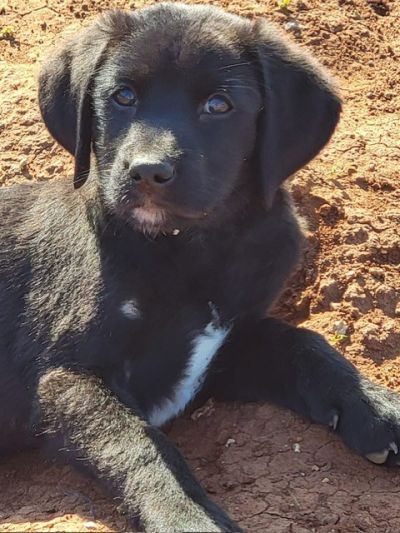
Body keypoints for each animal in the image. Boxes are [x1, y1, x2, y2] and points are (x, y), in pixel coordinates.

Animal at [1, 3, 399, 531]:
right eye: (123, 96)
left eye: (218, 105)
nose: (147, 171)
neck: (185, 250)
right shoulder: (65, 374)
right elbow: (138, 444)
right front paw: (186, 514)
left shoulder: (227, 343)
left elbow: (302, 342)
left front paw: (378, 406)